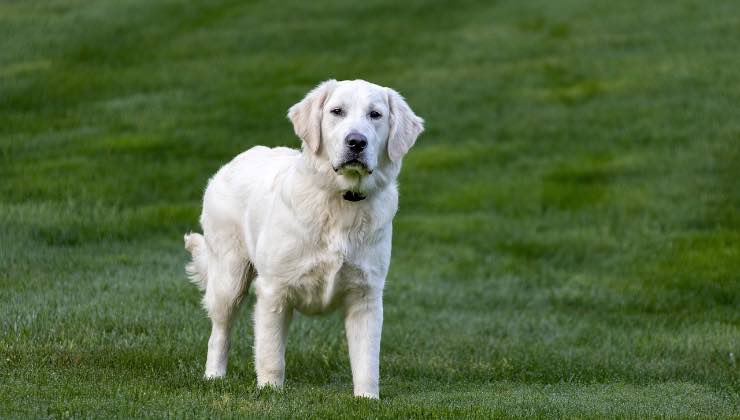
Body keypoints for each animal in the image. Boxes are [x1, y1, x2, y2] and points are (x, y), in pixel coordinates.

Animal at [184, 79, 422, 398]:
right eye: (337, 111)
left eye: (376, 115)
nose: (356, 142)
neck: (341, 201)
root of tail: (233, 161)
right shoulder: (274, 290)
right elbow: (271, 352)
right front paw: (270, 391)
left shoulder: (366, 294)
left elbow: (367, 359)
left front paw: (367, 398)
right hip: (229, 279)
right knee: (219, 332)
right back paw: (214, 377)